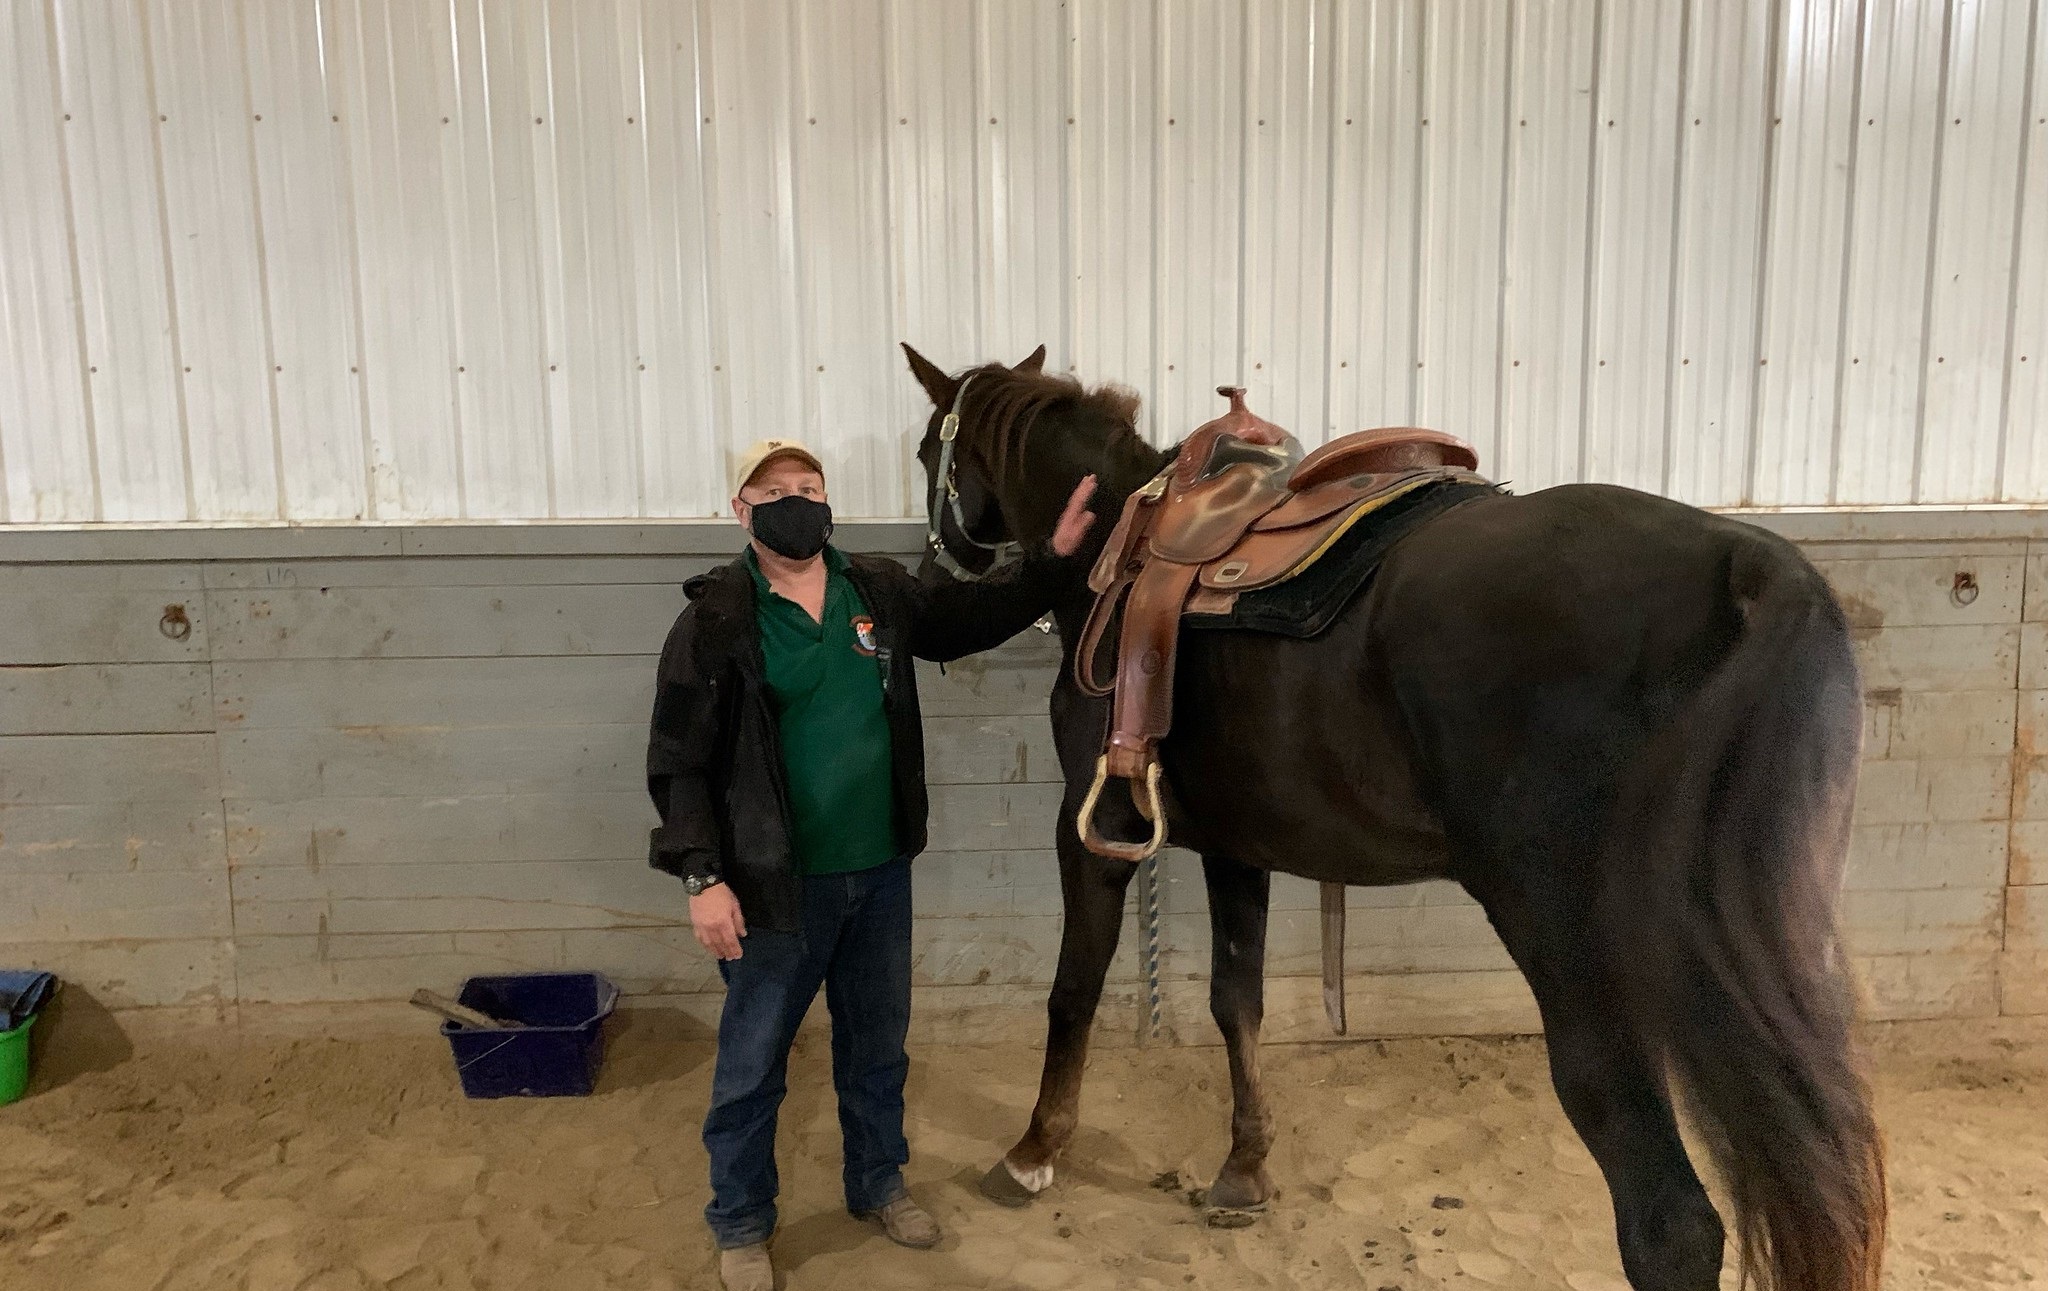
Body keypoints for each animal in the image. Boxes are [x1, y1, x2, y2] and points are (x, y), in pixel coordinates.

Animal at [901, 344, 1884, 1291]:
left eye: (923, 453)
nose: (931, 569)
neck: (1118, 545)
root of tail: (1748, 567)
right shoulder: (1236, 846)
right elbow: (1236, 999)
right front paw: (1244, 1168)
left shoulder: (1093, 836)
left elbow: (1072, 991)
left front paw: (1032, 1152)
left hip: (1581, 959)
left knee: (1671, 1227)